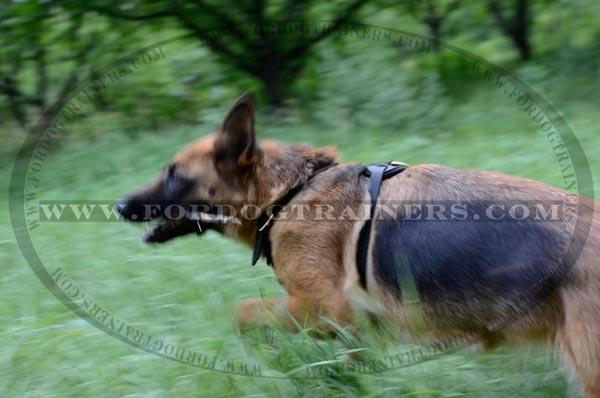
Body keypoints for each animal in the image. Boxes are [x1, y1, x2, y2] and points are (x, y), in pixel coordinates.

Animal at [117, 92, 600, 394]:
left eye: (175, 175)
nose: (120, 205)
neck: (291, 193)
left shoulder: (324, 308)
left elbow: (243, 312)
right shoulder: (357, 327)